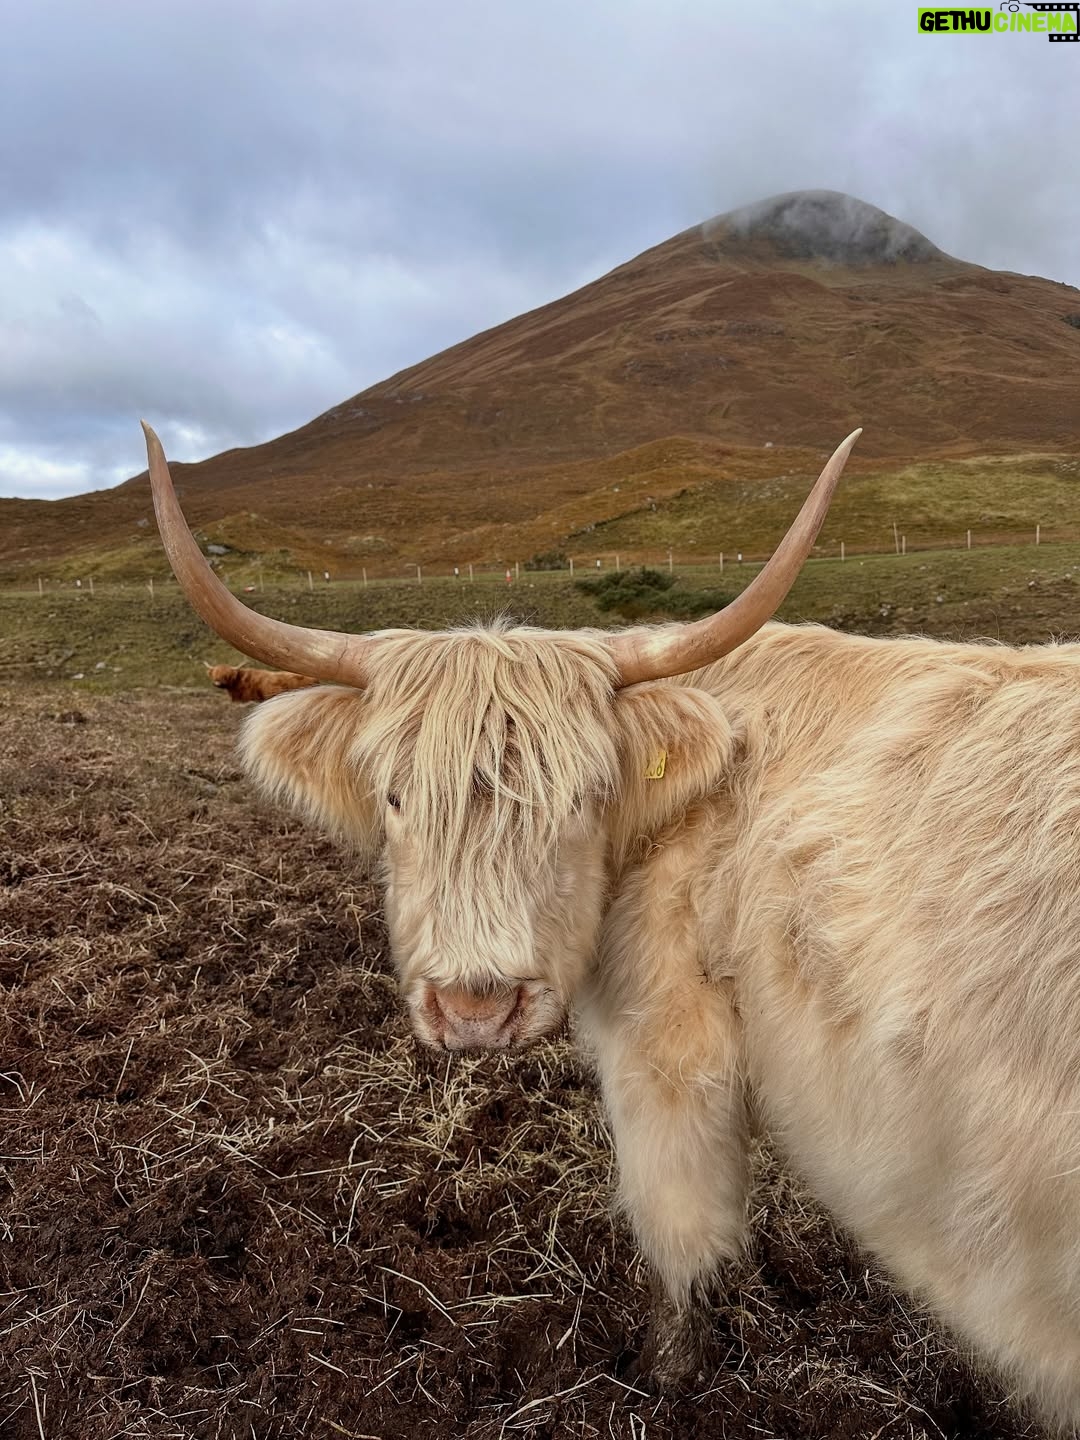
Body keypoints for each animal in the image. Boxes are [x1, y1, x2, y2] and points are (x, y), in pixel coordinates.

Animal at [142, 419, 1080, 1428]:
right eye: (396, 797)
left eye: (585, 798)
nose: (477, 1010)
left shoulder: (665, 1048)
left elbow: (678, 1233)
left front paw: (666, 1374)